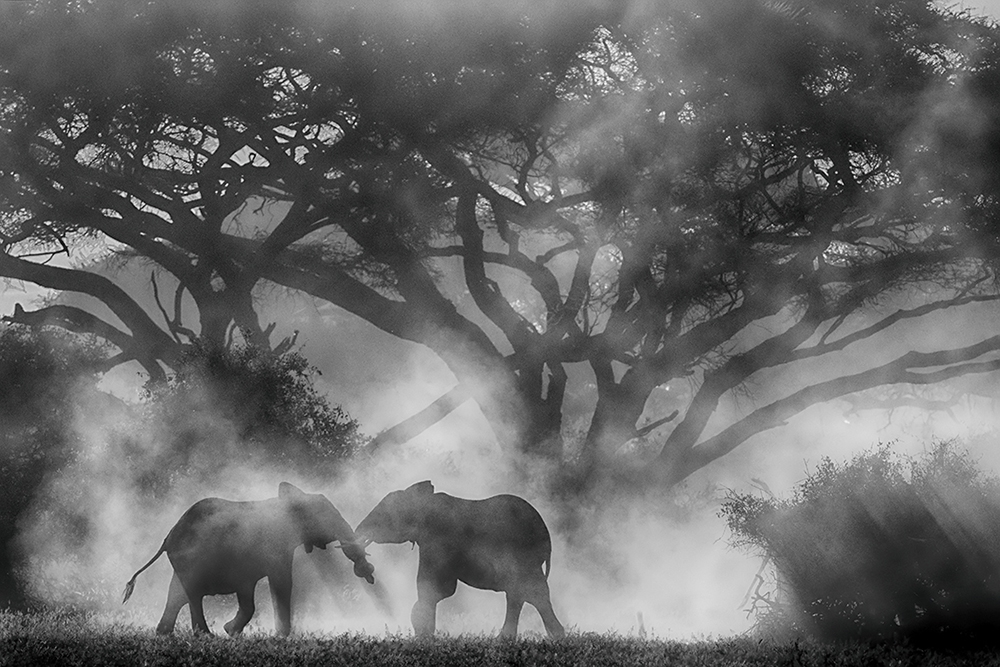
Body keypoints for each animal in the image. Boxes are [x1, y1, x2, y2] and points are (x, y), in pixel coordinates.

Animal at [122, 482, 375, 636]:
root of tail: (168, 537)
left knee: (178, 594)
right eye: (325, 516)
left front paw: (231, 631)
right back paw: (205, 636)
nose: (368, 571)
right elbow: (281, 582)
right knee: (191, 593)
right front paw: (278, 636)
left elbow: (249, 594)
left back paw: (165, 633)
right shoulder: (274, 547)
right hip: (190, 559)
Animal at [354, 480, 565, 638]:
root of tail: (545, 532)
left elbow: (433, 588)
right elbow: (441, 590)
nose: (358, 532)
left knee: (530, 592)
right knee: (522, 593)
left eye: (383, 512)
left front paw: (423, 636)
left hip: (522, 554)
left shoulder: (437, 541)